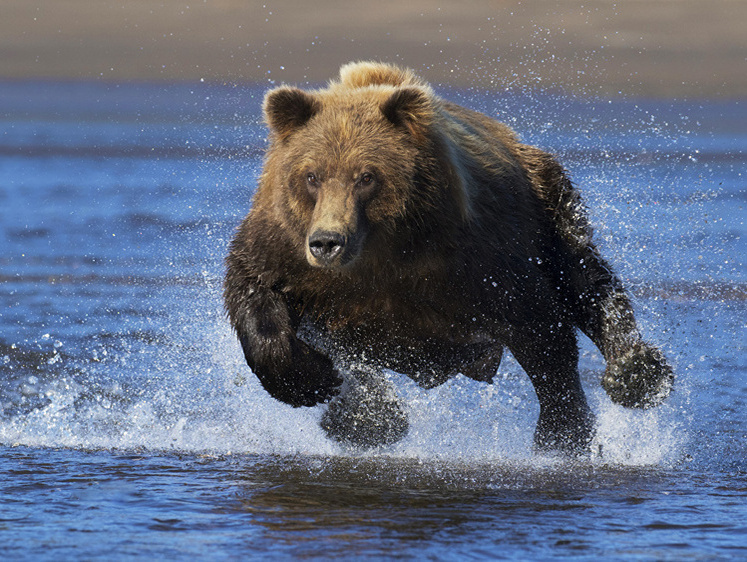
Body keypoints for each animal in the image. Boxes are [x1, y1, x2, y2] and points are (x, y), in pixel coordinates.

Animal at [225, 61, 676, 452]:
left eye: (366, 176)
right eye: (311, 175)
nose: (327, 242)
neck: (383, 253)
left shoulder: (477, 256)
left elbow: (542, 329)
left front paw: (563, 435)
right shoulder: (286, 248)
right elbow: (254, 291)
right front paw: (311, 382)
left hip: (545, 200)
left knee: (585, 279)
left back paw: (635, 371)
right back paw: (365, 419)